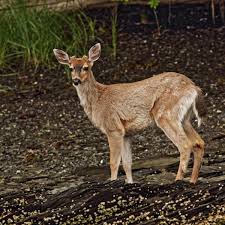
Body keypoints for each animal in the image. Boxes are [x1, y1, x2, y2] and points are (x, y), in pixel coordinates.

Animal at [53, 43, 206, 184]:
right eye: (70, 68)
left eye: (86, 67)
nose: (76, 80)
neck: (97, 101)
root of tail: (194, 88)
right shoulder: (126, 133)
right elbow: (127, 164)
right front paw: (129, 183)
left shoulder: (114, 128)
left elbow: (114, 163)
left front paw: (113, 181)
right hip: (184, 118)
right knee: (199, 143)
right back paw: (192, 181)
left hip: (165, 113)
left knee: (185, 145)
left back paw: (178, 179)